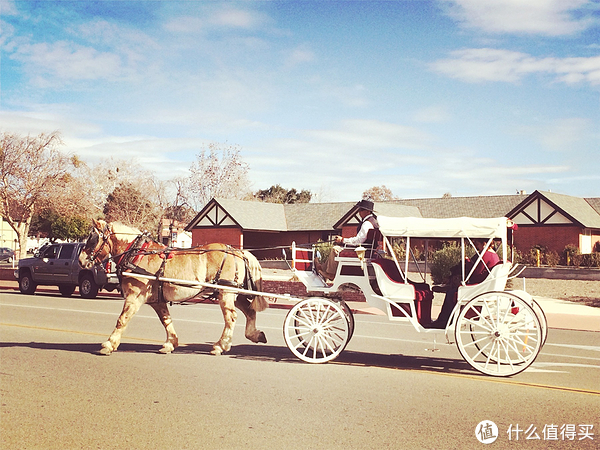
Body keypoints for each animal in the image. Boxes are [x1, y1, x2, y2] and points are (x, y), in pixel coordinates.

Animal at [79, 220, 268, 356]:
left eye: (92, 238)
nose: (80, 260)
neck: (136, 253)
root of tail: (239, 252)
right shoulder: (157, 300)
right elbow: (166, 320)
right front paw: (171, 343)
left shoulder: (134, 297)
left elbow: (122, 319)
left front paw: (109, 344)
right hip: (235, 293)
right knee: (249, 311)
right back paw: (254, 335)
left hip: (226, 292)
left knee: (231, 318)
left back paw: (220, 346)